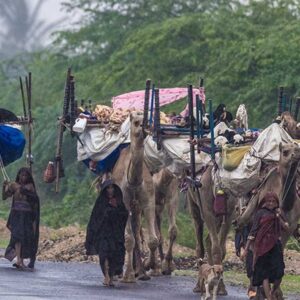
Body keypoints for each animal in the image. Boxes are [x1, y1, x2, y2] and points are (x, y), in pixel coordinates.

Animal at [112, 111, 159, 282]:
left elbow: (153, 239)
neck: (134, 181)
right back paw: (126, 273)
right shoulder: (124, 203)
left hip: (136, 207)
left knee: (138, 231)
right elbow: (128, 239)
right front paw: (129, 276)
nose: (147, 128)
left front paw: (151, 268)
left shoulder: (149, 200)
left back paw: (141, 272)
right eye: (136, 122)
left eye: (148, 119)